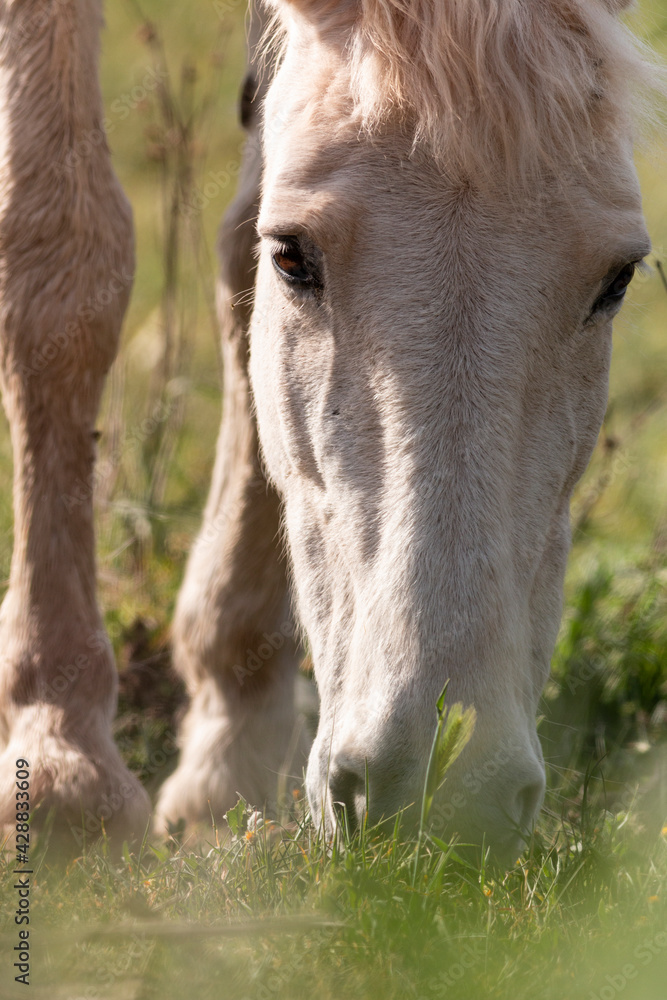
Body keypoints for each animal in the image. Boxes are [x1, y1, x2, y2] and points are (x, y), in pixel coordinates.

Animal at [0, 0, 658, 861]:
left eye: (617, 278)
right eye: (292, 258)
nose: (441, 793)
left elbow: (235, 243)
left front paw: (233, 740)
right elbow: (62, 257)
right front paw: (61, 757)